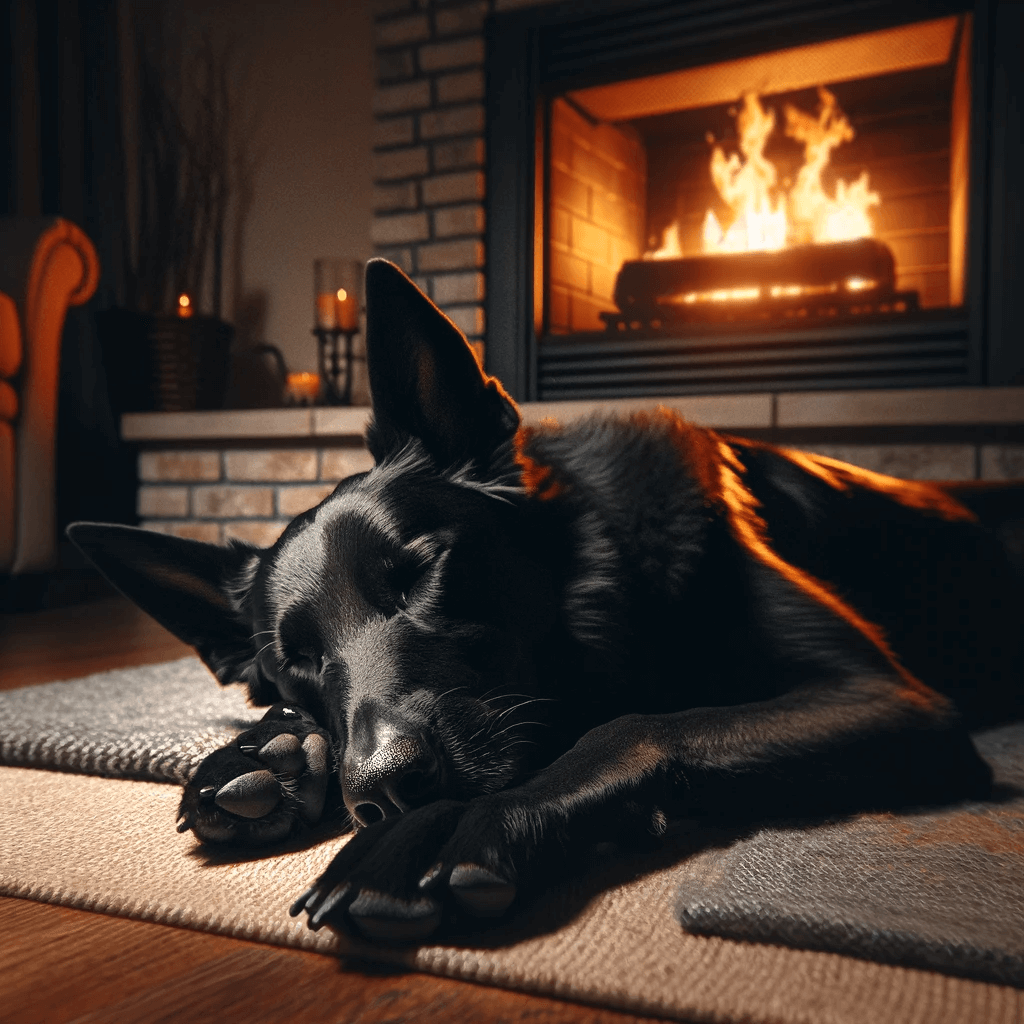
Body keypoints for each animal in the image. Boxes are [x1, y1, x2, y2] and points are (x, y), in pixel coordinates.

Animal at [68, 258, 1019, 942]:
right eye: (292, 662)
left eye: (419, 572)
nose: (390, 791)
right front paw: (266, 755)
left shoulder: (886, 696)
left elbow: (634, 724)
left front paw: (450, 828)